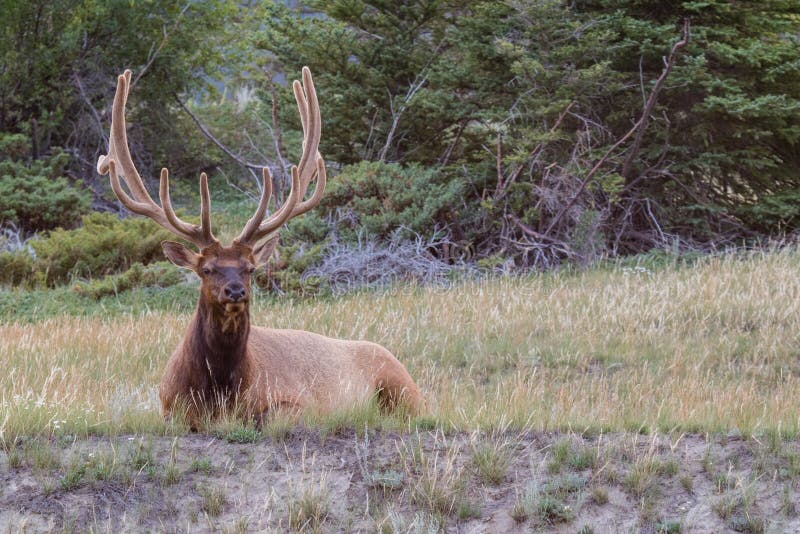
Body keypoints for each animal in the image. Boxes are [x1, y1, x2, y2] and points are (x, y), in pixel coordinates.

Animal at [97, 69, 422, 430]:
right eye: (206, 269)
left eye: (250, 268)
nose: (235, 291)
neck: (218, 395)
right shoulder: (169, 408)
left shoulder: (296, 402)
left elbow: (266, 417)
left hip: (403, 388)